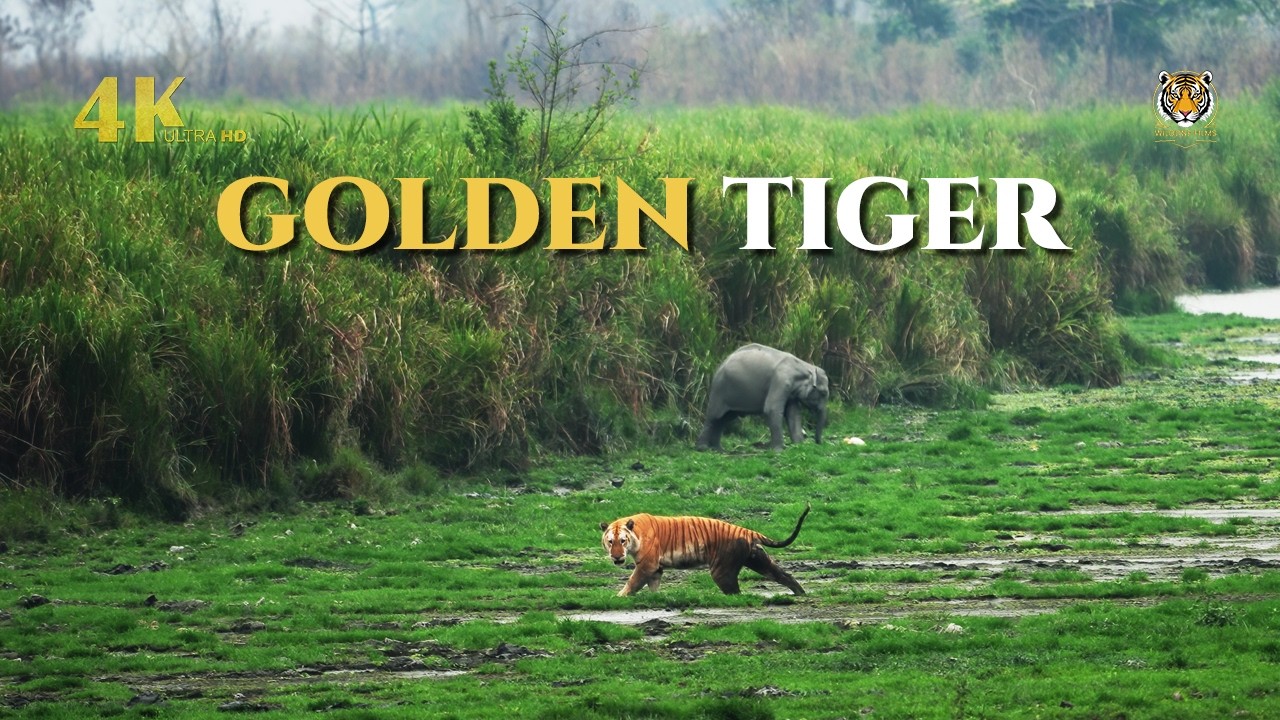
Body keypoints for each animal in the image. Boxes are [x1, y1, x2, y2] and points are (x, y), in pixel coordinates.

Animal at [599, 504, 810, 596]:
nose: (616, 557)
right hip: (759, 560)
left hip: (722, 570)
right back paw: (801, 593)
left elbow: (633, 582)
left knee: (735, 591)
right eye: (610, 542)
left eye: (622, 541)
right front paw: (654, 598)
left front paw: (618, 597)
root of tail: (746, 530)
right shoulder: (656, 568)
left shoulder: (647, 564)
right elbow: (653, 585)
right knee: (784, 575)